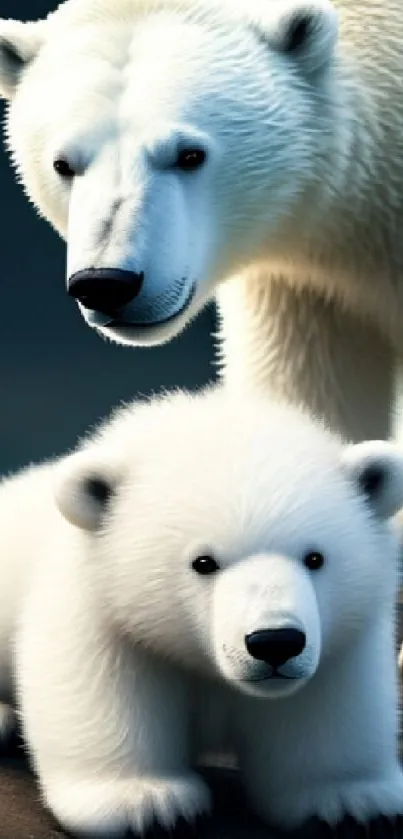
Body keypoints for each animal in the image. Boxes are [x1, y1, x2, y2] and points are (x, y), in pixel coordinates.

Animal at [0, 388, 403, 832]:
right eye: (204, 562)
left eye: (315, 558)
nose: (275, 642)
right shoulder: (102, 608)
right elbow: (104, 690)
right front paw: (147, 803)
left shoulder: (340, 639)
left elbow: (326, 705)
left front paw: (347, 801)